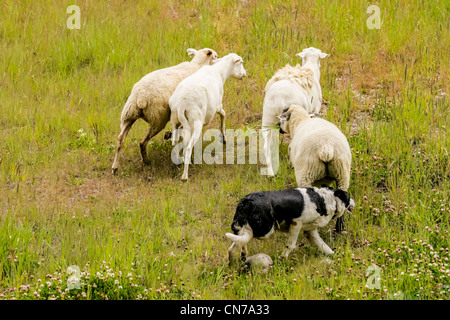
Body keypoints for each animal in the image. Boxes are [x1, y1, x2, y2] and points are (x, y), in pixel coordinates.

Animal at [111, 47, 219, 175]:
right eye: (215, 56)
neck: (197, 66)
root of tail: (140, 97)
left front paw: (169, 135)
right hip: (158, 119)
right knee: (143, 141)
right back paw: (147, 161)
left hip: (128, 116)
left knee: (120, 139)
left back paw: (115, 167)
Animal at [169, 53, 246, 181]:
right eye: (240, 63)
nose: (244, 74)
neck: (220, 72)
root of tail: (181, 103)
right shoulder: (218, 105)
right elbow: (223, 114)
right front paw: (224, 137)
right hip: (196, 122)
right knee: (188, 148)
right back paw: (185, 176)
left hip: (175, 120)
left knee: (174, 143)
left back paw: (179, 161)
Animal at [225, 186, 356, 264]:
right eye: (348, 197)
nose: (354, 201)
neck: (324, 199)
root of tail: (246, 201)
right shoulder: (296, 223)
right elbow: (291, 245)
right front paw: (283, 258)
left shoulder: (311, 231)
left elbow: (325, 247)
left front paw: (336, 256)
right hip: (265, 229)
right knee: (244, 238)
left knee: (234, 246)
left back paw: (236, 260)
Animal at [260, 47, 326, 178]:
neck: (310, 68)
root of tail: (280, 98)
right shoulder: (315, 108)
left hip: (267, 118)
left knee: (266, 147)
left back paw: (270, 173)